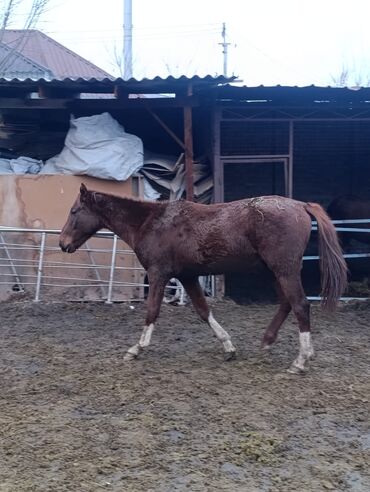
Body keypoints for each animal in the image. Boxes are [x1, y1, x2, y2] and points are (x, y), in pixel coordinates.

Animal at [58, 184, 346, 372]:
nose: (63, 244)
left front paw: (136, 349)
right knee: (287, 304)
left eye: (74, 211)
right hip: (275, 271)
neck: (152, 222)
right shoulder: (188, 277)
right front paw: (228, 347)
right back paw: (267, 343)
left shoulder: (158, 274)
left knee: (300, 306)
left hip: (284, 270)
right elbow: (203, 311)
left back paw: (300, 360)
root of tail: (301, 205)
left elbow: (152, 312)